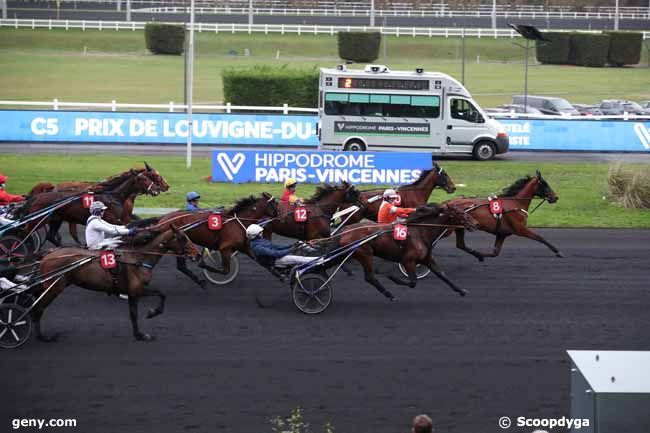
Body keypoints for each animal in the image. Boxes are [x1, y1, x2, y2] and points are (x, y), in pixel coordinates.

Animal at [20, 165, 167, 246]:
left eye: (151, 177)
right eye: (147, 178)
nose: (161, 188)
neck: (113, 195)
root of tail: (37, 197)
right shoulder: (115, 219)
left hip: (56, 219)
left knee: (51, 236)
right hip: (38, 220)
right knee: (24, 234)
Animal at [33, 226, 199, 340]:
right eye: (182, 238)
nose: (197, 254)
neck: (138, 259)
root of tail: (47, 255)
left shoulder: (132, 293)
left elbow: (134, 313)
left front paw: (139, 334)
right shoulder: (137, 290)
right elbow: (160, 295)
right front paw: (151, 315)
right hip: (54, 287)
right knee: (38, 308)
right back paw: (42, 337)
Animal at [332, 203, 478, 300]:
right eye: (461, 213)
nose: (476, 224)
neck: (421, 232)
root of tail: (345, 230)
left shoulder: (427, 259)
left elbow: (442, 275)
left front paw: (461, 290)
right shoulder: (408, 261)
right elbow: (413, 282)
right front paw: (393, 277)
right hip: (365, 253)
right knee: (370, 277)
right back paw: (389, 294)